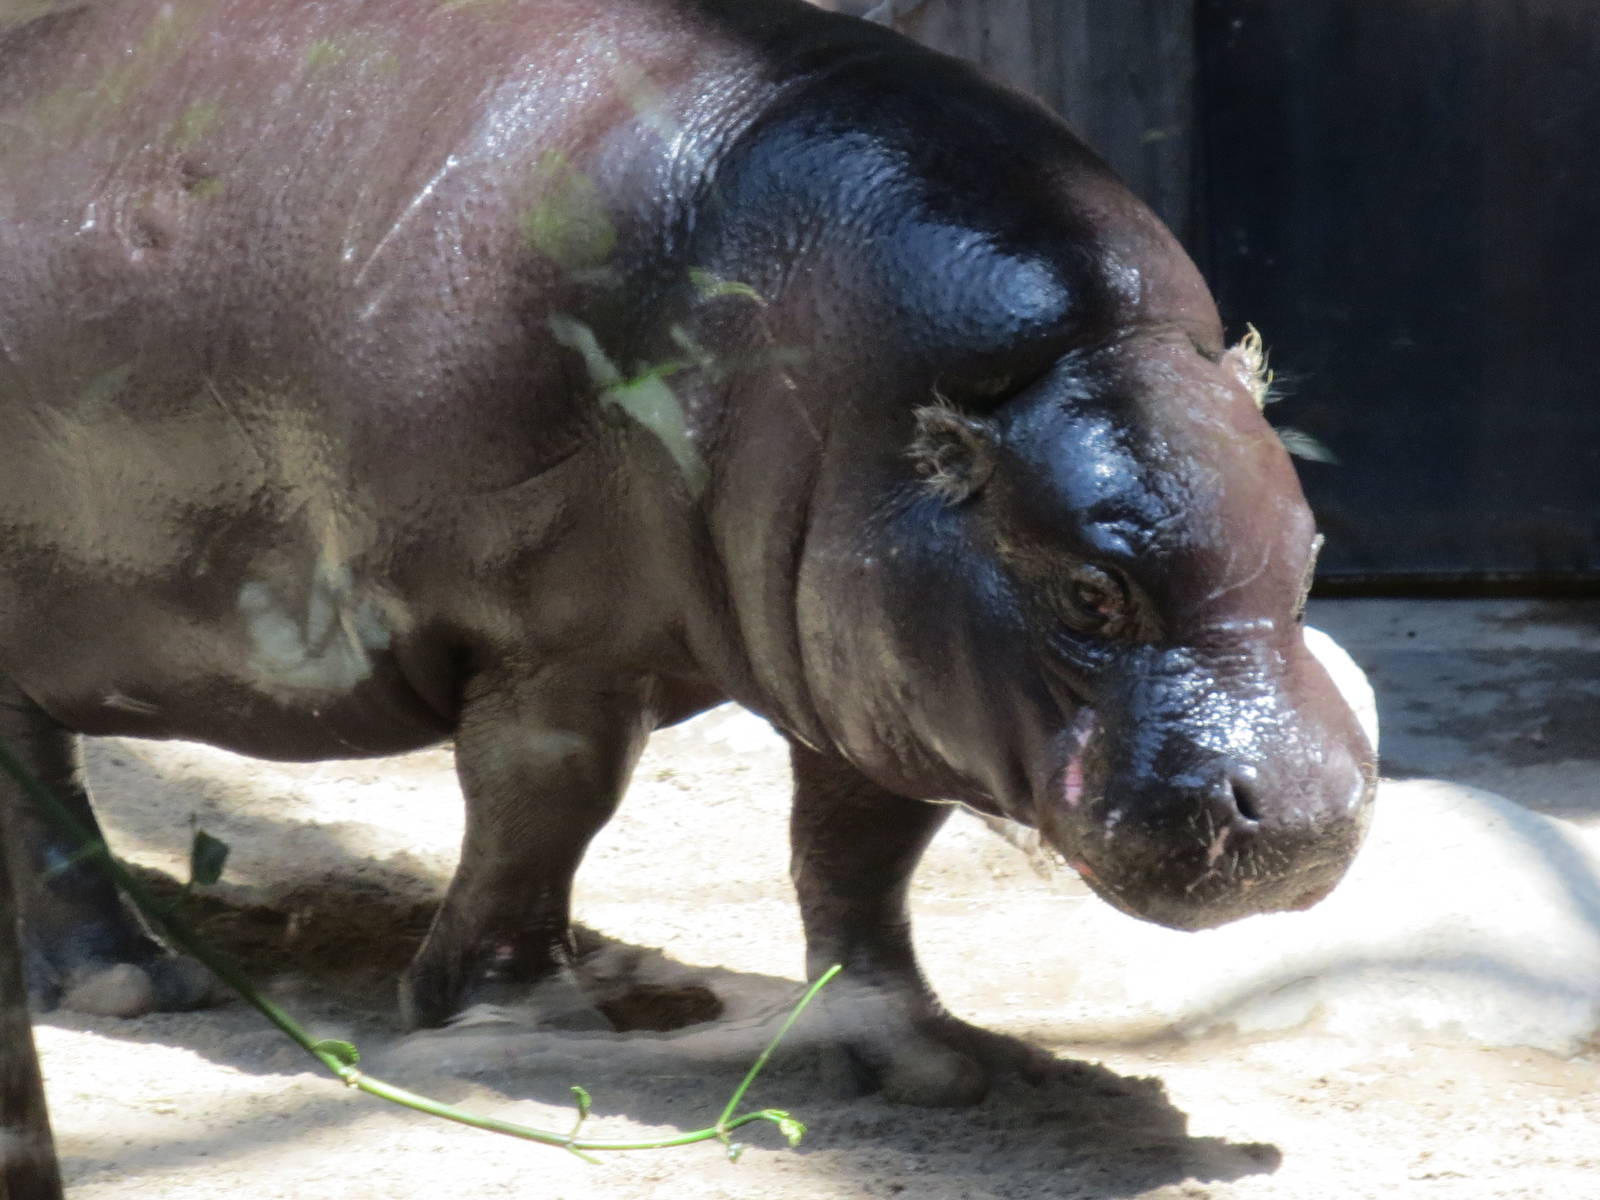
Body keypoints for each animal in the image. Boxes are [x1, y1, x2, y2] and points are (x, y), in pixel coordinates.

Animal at [0, 0, 1375, 1107]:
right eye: (1090, 590)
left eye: (1311, 545)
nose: (1308, 813)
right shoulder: (548, 644)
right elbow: (543, 809)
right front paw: (521, 1022)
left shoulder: (877, 664)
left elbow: (862, 854)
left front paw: (923, 1058)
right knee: (44, 794)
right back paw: (133, 984)